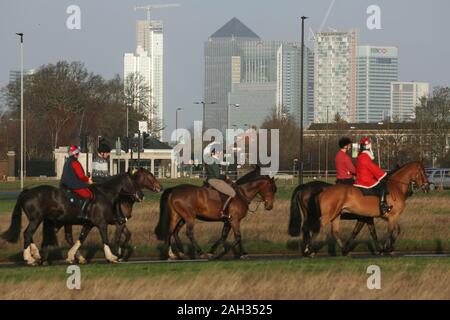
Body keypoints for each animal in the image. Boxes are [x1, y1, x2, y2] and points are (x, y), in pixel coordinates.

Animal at [0, 170, 144, 264]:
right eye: (134, 183)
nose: (141, 195)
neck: (105, 194)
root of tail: (26, 192)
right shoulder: (101, 223)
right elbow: (105, 239)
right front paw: (111, 257)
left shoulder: (89, 224)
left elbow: (81, 238)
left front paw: (73, 256)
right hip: (36, 219)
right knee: (27, 233)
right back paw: (30, 257)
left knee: (33, 236)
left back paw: (37, 255)